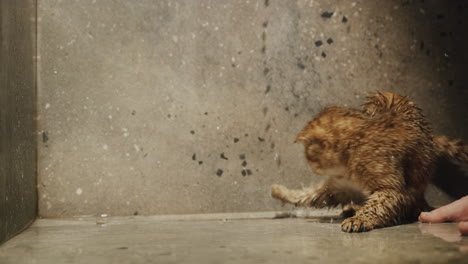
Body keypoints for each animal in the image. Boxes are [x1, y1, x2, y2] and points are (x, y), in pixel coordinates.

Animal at [272, 92, 466, 232]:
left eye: (308, 155)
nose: (310, 165)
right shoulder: (338, 188)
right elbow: (306, 195)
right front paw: (279, 191)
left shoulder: (391, 189)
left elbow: (375, 206)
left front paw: (358, 220)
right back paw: (351, 208)